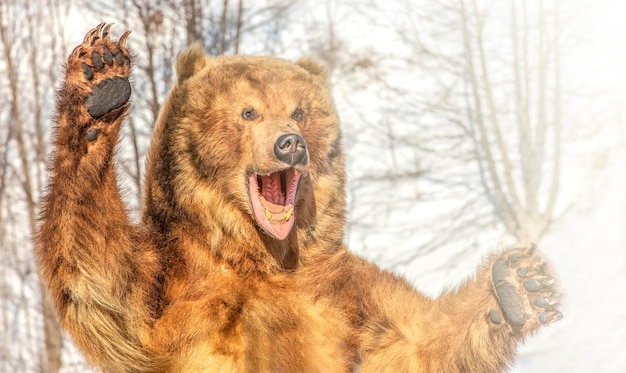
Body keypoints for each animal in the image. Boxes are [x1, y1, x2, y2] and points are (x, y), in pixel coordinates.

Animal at [35, 23, 560, 372]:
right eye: (248, 112)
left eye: (299, 111)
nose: (290, 143)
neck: (264, 257)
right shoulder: (174, 285)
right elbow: (104, 280)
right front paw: (101, 77)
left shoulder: (344, 296)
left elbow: (415, 342)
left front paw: (520, 284)